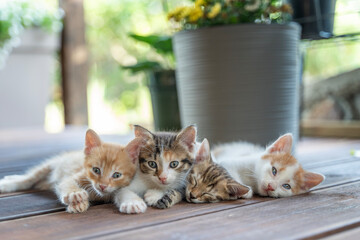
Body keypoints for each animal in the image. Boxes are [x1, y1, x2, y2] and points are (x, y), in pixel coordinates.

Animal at [0, 130, 143, 213]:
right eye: (96, 170)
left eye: (117, 175)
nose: (102, 186)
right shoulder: (72, 177)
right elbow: (66, 183)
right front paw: (75, 194)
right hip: (50, 164)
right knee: (28, 179)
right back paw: (7, 183)